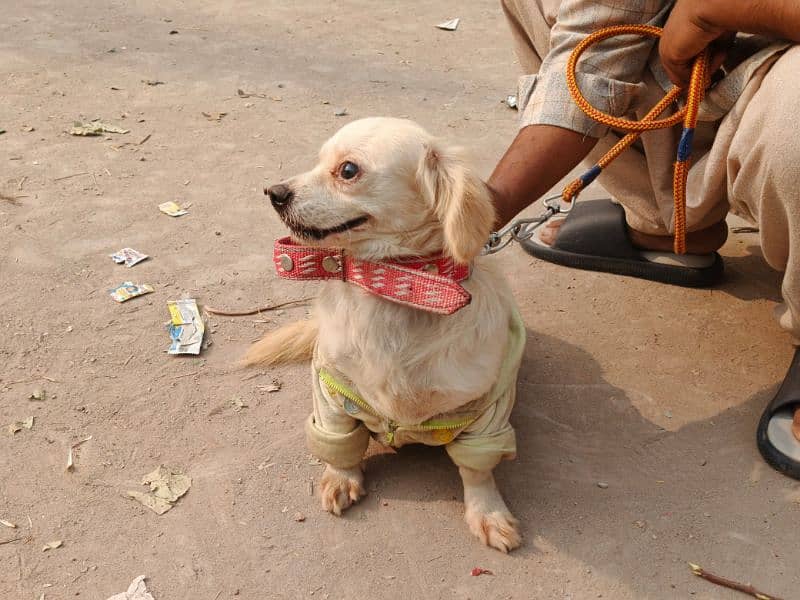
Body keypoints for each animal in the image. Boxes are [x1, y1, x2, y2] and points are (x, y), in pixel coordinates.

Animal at [247, 118, 528, 552]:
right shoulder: (331, 391)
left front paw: (488, 513)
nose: (273, 192)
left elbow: (477, 471)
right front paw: (341, 478)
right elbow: (340, 443)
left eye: (347, 170)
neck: (397, 286)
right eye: (318, 160)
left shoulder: (487, 411)